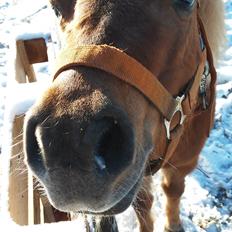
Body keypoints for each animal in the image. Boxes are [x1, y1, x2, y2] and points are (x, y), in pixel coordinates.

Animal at [22, 0, 224, 231]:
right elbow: (144, 202)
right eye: (54, 6)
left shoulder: (184, 160)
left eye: (187, 2)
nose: (69, 145)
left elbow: (172, 189)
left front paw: (173, 225)